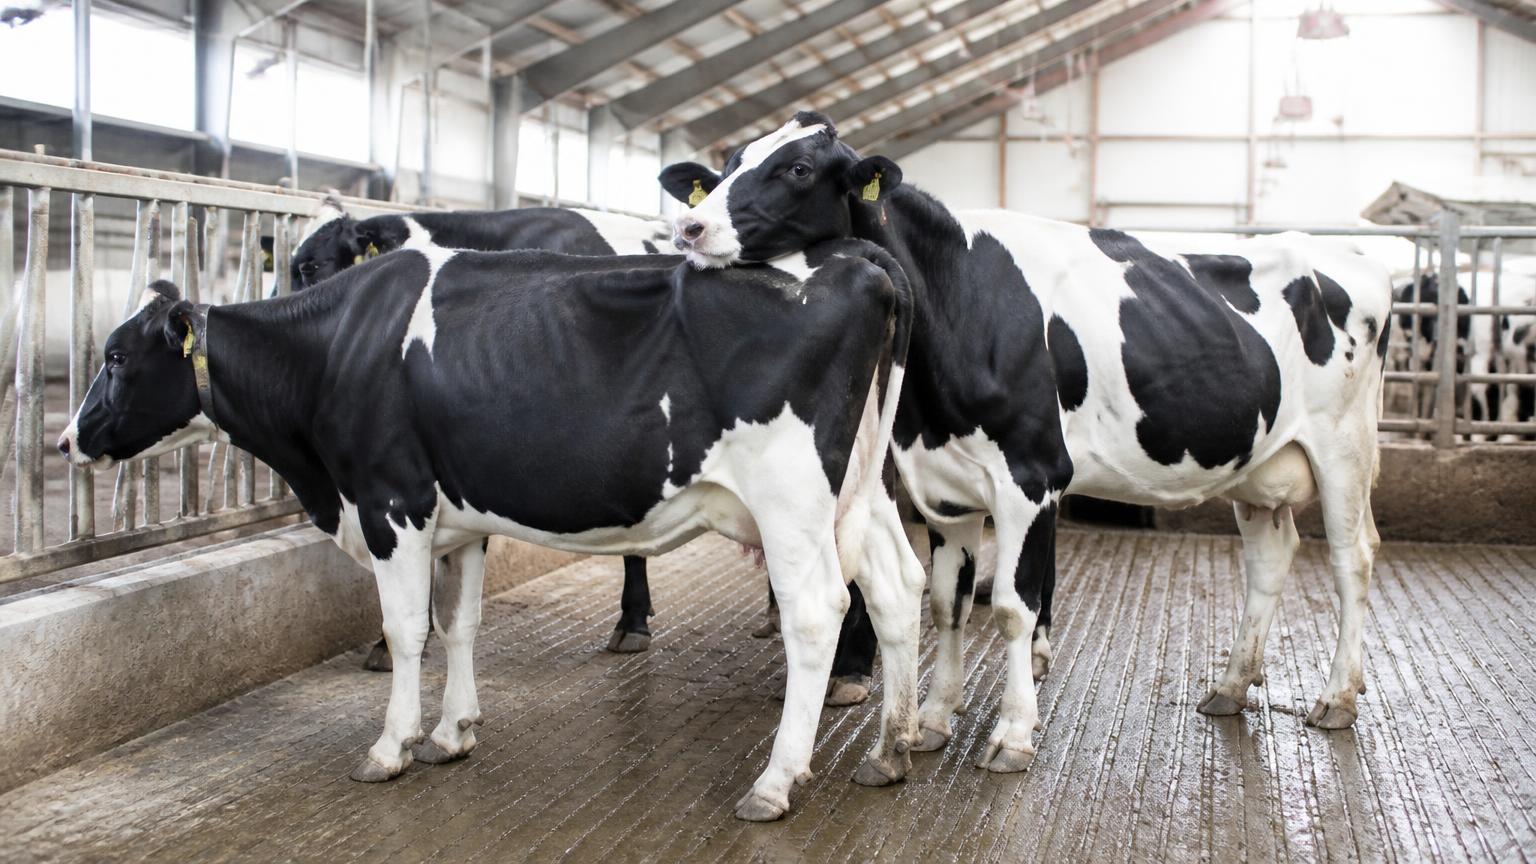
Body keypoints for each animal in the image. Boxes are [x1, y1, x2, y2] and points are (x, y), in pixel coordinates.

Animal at [660, 112, 1391, 775]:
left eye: (798, 168)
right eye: (727, 164)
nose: (689, 229)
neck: (959, 303)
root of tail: (1349, 257)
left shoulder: (1031, 477)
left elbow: (1013, 607)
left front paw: (1012, 735)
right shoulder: (944, 487)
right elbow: (947, 604)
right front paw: (933, 720)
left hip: (1345, 449)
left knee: (1353, 559)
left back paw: (1336, 698)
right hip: (1260, 465)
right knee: (1271, 558)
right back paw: (1232, 686)